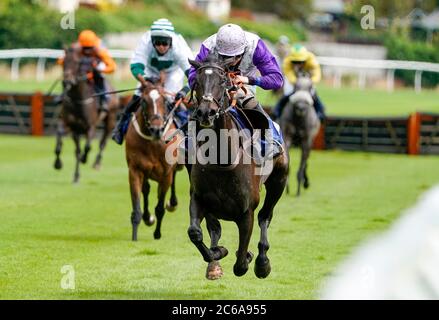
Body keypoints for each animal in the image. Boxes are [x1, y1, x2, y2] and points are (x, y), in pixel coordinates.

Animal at [54, 46, 121, 184]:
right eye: (64, 62)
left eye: (77, 63)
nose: (67, 81)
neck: (78, 100)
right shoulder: (70, 125)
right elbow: (64, 146)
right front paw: (59, 165)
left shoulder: (90, 127)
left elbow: (88, 147)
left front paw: (84, 159)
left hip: (110, 119)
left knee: (103, 142)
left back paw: (97, 163)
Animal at [125, 74, 182, 241]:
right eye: (144, 101)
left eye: (165, 100)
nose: (157, 129)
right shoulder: (135, 170)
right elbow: (137, 208)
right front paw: (134, 237)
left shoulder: (166, 173)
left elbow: (160, 208)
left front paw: (157, 234)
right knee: (146, 189)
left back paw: (172, 203)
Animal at [187, 57, 290, 280]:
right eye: (196, 81)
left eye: (223, 80)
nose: (206, 112)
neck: (222, 161)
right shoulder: (198, 198)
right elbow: (196, 233)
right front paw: (218, 252)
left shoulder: (246, 213)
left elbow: (241, 263)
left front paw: (251, 257)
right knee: (214, 228)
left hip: (278, 181)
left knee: (265, 217)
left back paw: (262, 262)